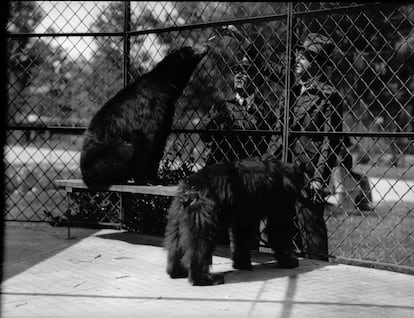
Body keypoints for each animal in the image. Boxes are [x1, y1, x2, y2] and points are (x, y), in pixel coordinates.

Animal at [79, 46, 209, 188]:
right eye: (191, 48)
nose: (206, 45)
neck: (166, 87)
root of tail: (84, 175)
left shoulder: (166, 112)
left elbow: (160, 142)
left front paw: (158, 179)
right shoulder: (151, 109)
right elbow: (148, 141)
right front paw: (146, 179)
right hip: (101, 160)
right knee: (127, 147)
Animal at [165, 159, 304, 286]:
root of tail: (190, 188)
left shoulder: (244, 215)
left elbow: (241, 235)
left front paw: (242, 264)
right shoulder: (280, 200)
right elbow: (278, 231)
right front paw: (289, 261)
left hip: (177, 214)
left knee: (176, 241)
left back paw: (177, 271)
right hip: (204, 214)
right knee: (200, 244)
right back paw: (204, 279)